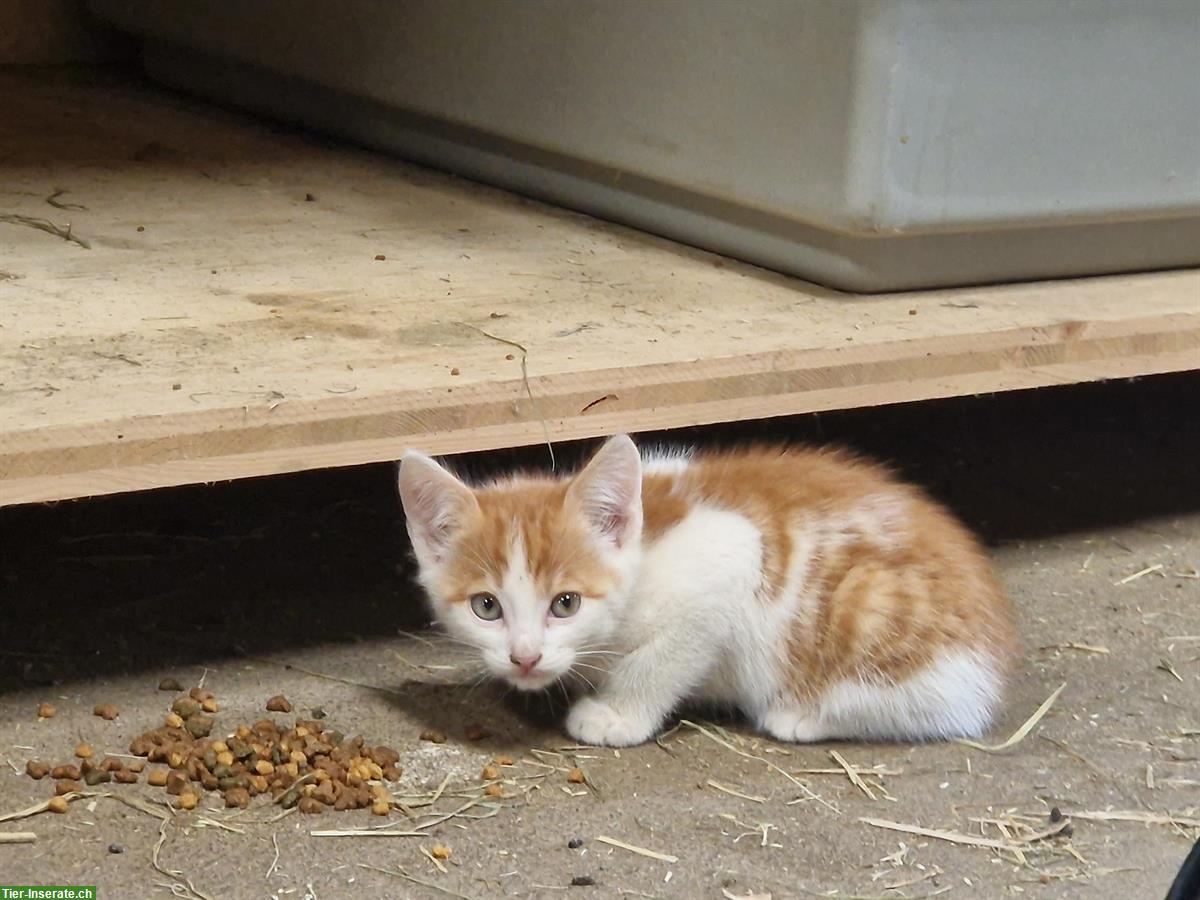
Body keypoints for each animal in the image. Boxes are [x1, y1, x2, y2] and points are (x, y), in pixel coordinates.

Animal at [398, 436, 1017, 748]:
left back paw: (800, 715)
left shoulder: (731, 557)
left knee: (945, 710)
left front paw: (616, 715)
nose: (524, 657)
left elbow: (664, 657)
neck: (640, 554)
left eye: (565, 603)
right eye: (486, 607)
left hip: (873, 609)